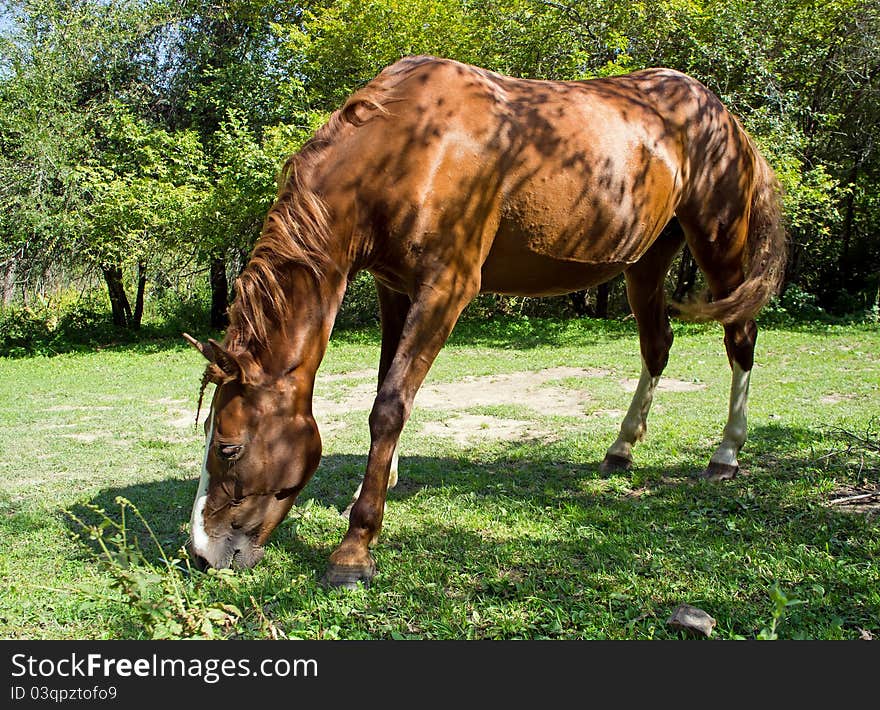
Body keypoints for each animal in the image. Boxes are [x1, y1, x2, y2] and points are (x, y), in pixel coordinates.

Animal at [180, 57, 784, 588]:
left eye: (229, 447)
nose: (201, 554)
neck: (409, 149)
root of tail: (721, 113)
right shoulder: (394, 288)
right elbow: (383, 387)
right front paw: (377, 487)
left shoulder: (446, 289)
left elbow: (389, 406)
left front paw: (355, 547)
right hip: (647, 262)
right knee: (657, 346)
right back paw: (621, 449)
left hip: (719, 245)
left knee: (741, 339)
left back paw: (726, 454)